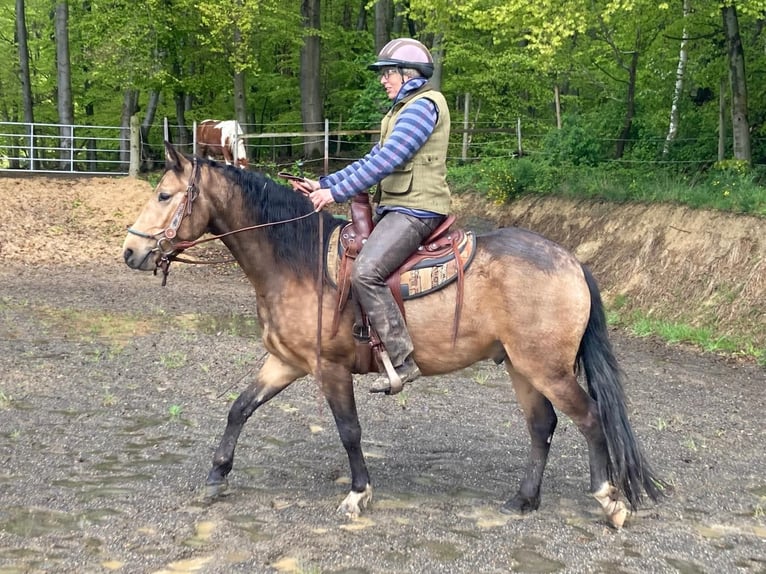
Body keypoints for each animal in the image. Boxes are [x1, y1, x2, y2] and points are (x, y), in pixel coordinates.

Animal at [122, 143, 666, 529]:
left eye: (164, 196)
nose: (131, 252)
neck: (297, 262)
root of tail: (571, 260)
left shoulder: (329, 369)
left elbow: (349, 430)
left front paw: (358, 493)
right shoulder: (286, 362)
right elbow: (239, 409)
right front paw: (216, 477)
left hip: (546, 367)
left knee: (590, 418)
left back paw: (609, 501)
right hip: (521, 366)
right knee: (542, 426)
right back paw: (523, 499)